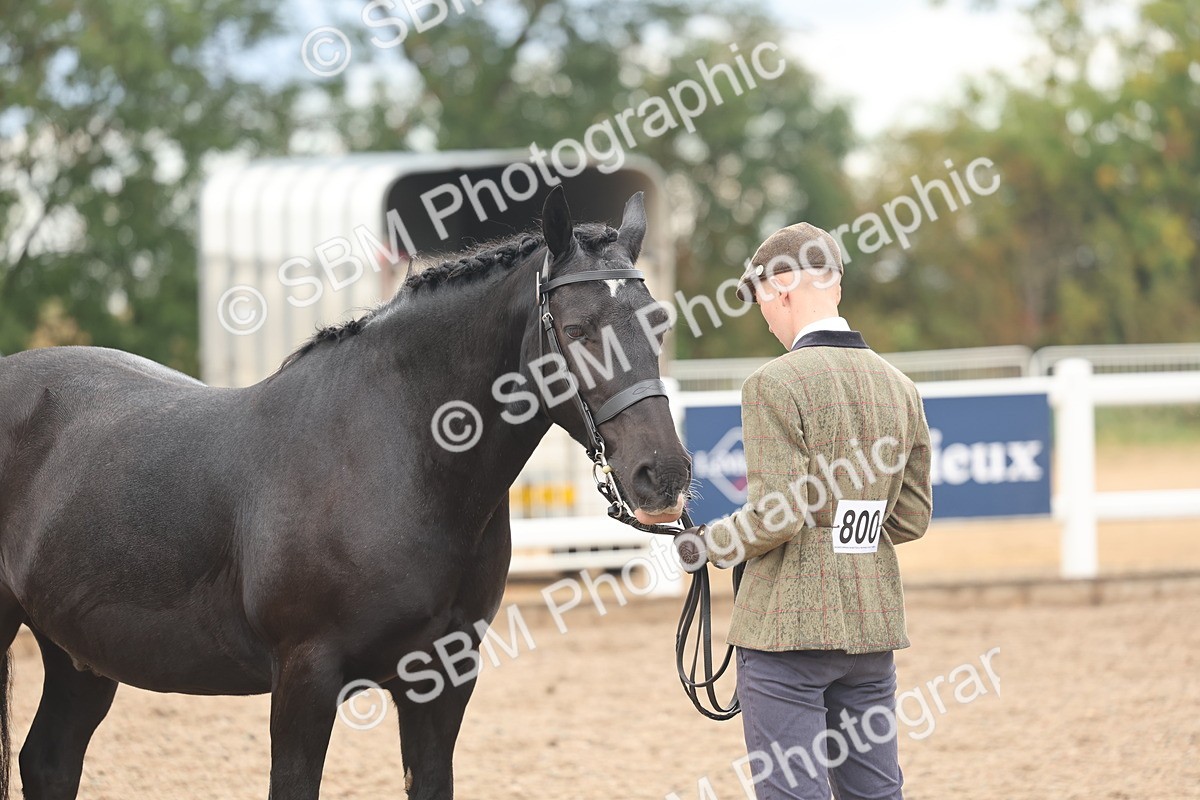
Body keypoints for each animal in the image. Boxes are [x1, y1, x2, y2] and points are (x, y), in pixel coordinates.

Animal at [0, 187, 691, 799]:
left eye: (659, 324)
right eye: (575, 329)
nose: (664, 475)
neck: (399, 459)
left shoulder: (442, 680)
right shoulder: (305, 679)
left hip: (80, 655)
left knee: (48, 764)